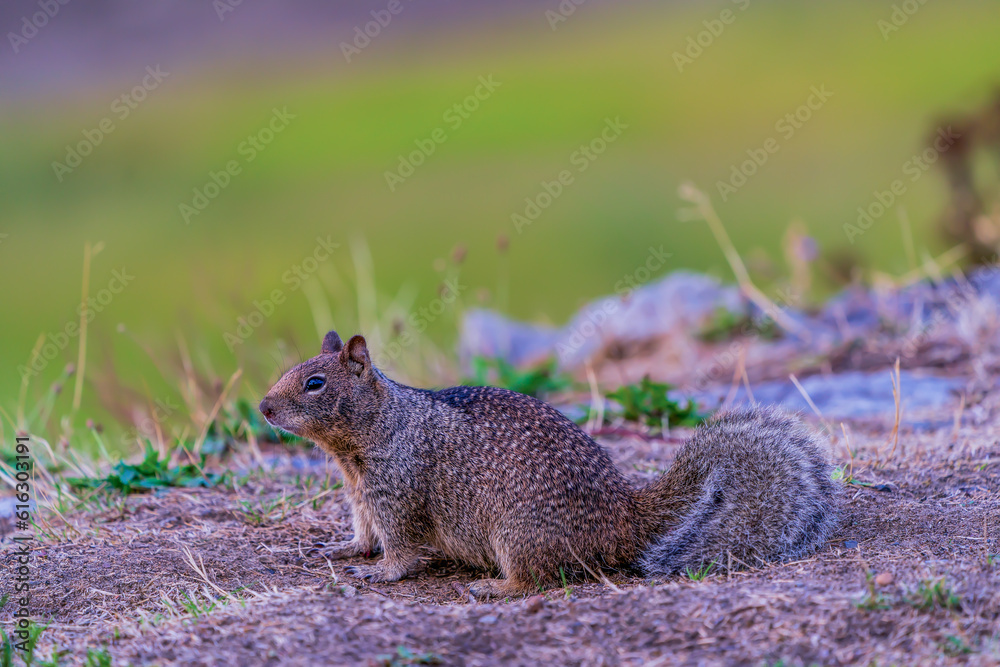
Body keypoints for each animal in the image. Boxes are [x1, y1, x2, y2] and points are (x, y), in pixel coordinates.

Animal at [259, 330, 838, 598]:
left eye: (315, 382)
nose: (262, 408)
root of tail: (625, 519)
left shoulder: (396, 491)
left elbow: (401, 545)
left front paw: (381, 572)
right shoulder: (361, 493)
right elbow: (363, 530)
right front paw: (343, 549)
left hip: (518, 533)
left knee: (537, 579)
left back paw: (494, 587)